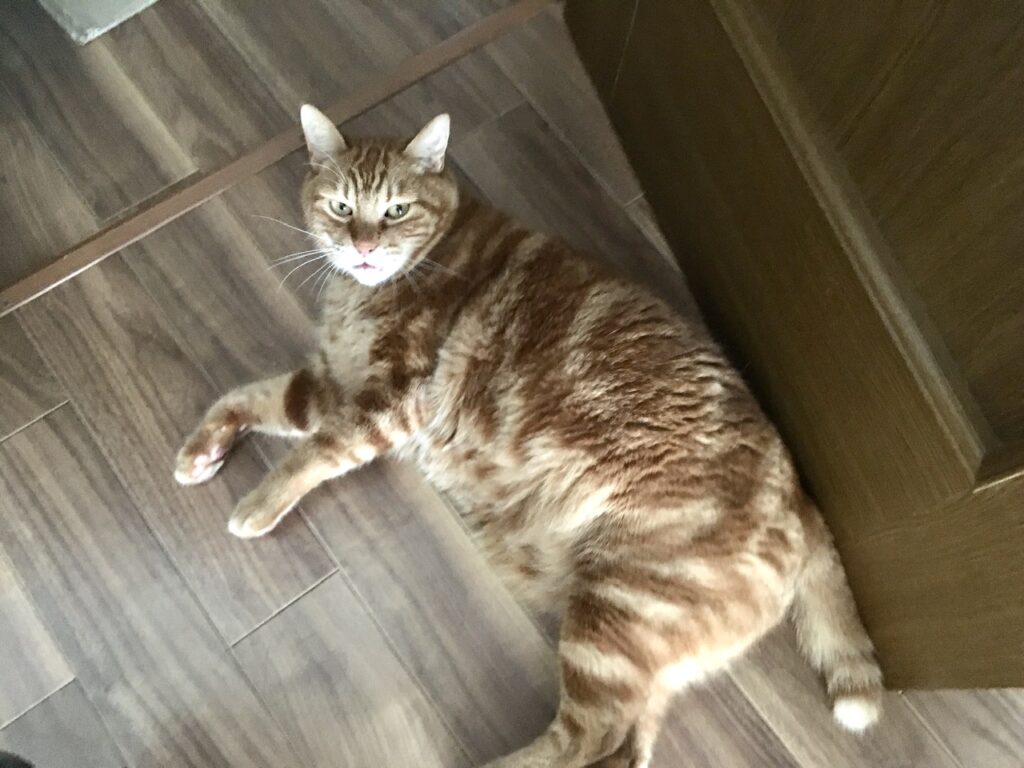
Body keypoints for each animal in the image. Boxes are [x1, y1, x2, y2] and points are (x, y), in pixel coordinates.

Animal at [174, 105, 884, 768]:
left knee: (588, 738)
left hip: (616, 612)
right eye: (342, 207)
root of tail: (802, 498)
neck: (375, 288)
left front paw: (256, 505)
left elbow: (313, 454)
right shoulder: (328, 384)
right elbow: (250, 396)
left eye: (396, 210)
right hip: (641, 646)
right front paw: (202, 452)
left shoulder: (390, 399)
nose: (364, 249)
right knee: (629, 746)